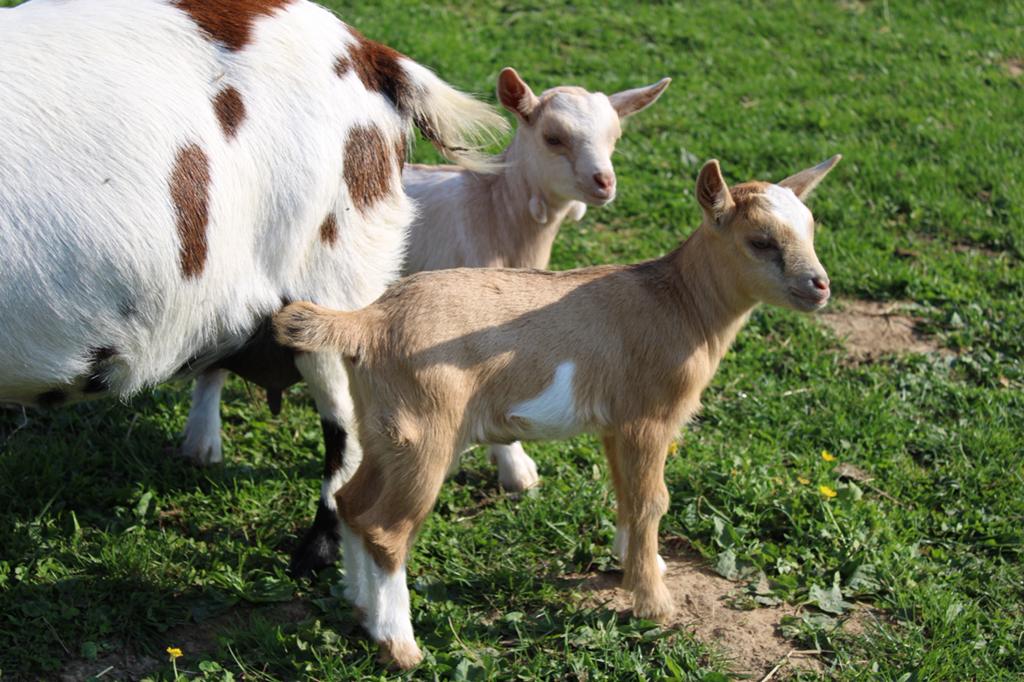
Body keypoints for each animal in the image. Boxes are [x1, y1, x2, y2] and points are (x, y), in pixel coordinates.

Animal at [274, 155, 842, 667]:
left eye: (812, 230)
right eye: (760, 241)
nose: (820, 285)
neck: (681, 304)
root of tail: (367, 322)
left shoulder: (617, 423)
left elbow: (626, 494)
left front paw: (639, 562)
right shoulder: (649, 418)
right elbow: (652, 501)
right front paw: (654, 604)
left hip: (382, 428)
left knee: (350, 502)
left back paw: (360, 607)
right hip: (425, 432)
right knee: (386, 529)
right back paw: (400, 646)